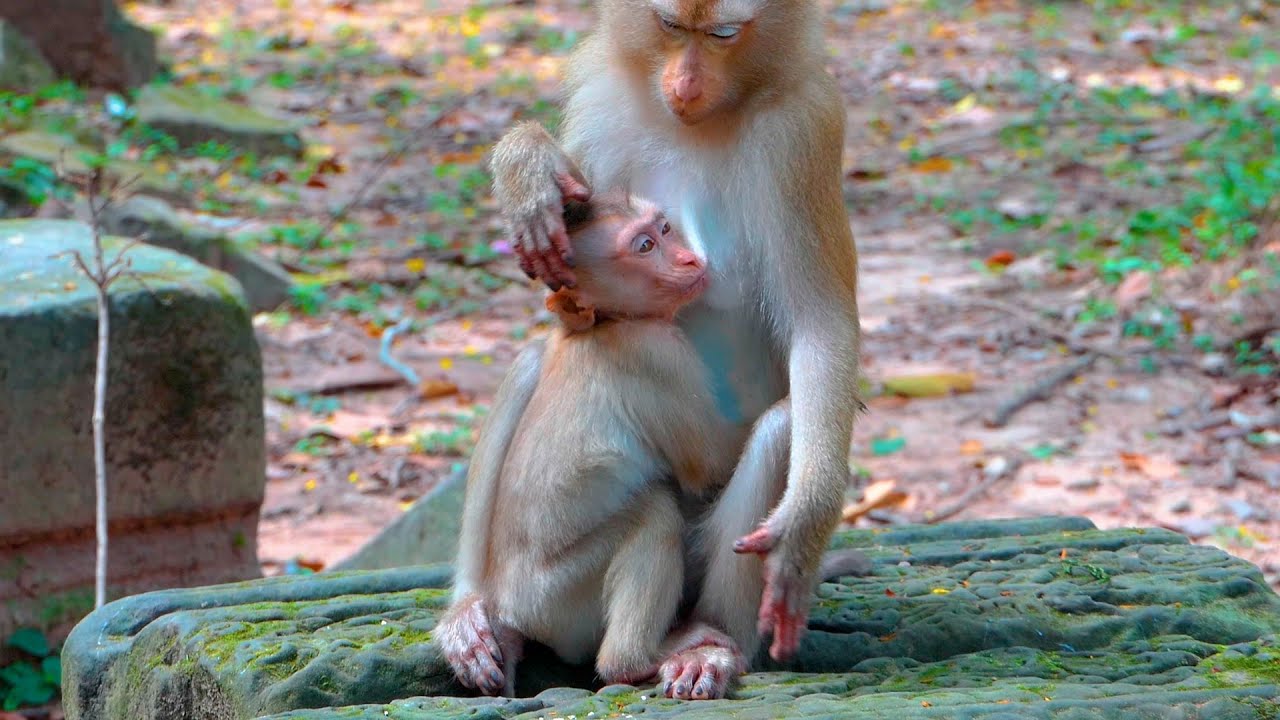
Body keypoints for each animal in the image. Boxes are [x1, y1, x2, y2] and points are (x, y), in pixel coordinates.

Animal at [481, 0, 864, 695]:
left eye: (723, 34)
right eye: (668, 25)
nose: (684, 87)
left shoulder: (803, 130)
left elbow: (819, 328)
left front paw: (806, 521)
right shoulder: (604, 92)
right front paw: (528, 166)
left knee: (779, 431)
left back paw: (709, 645)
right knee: (533, 360)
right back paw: (477, 618)